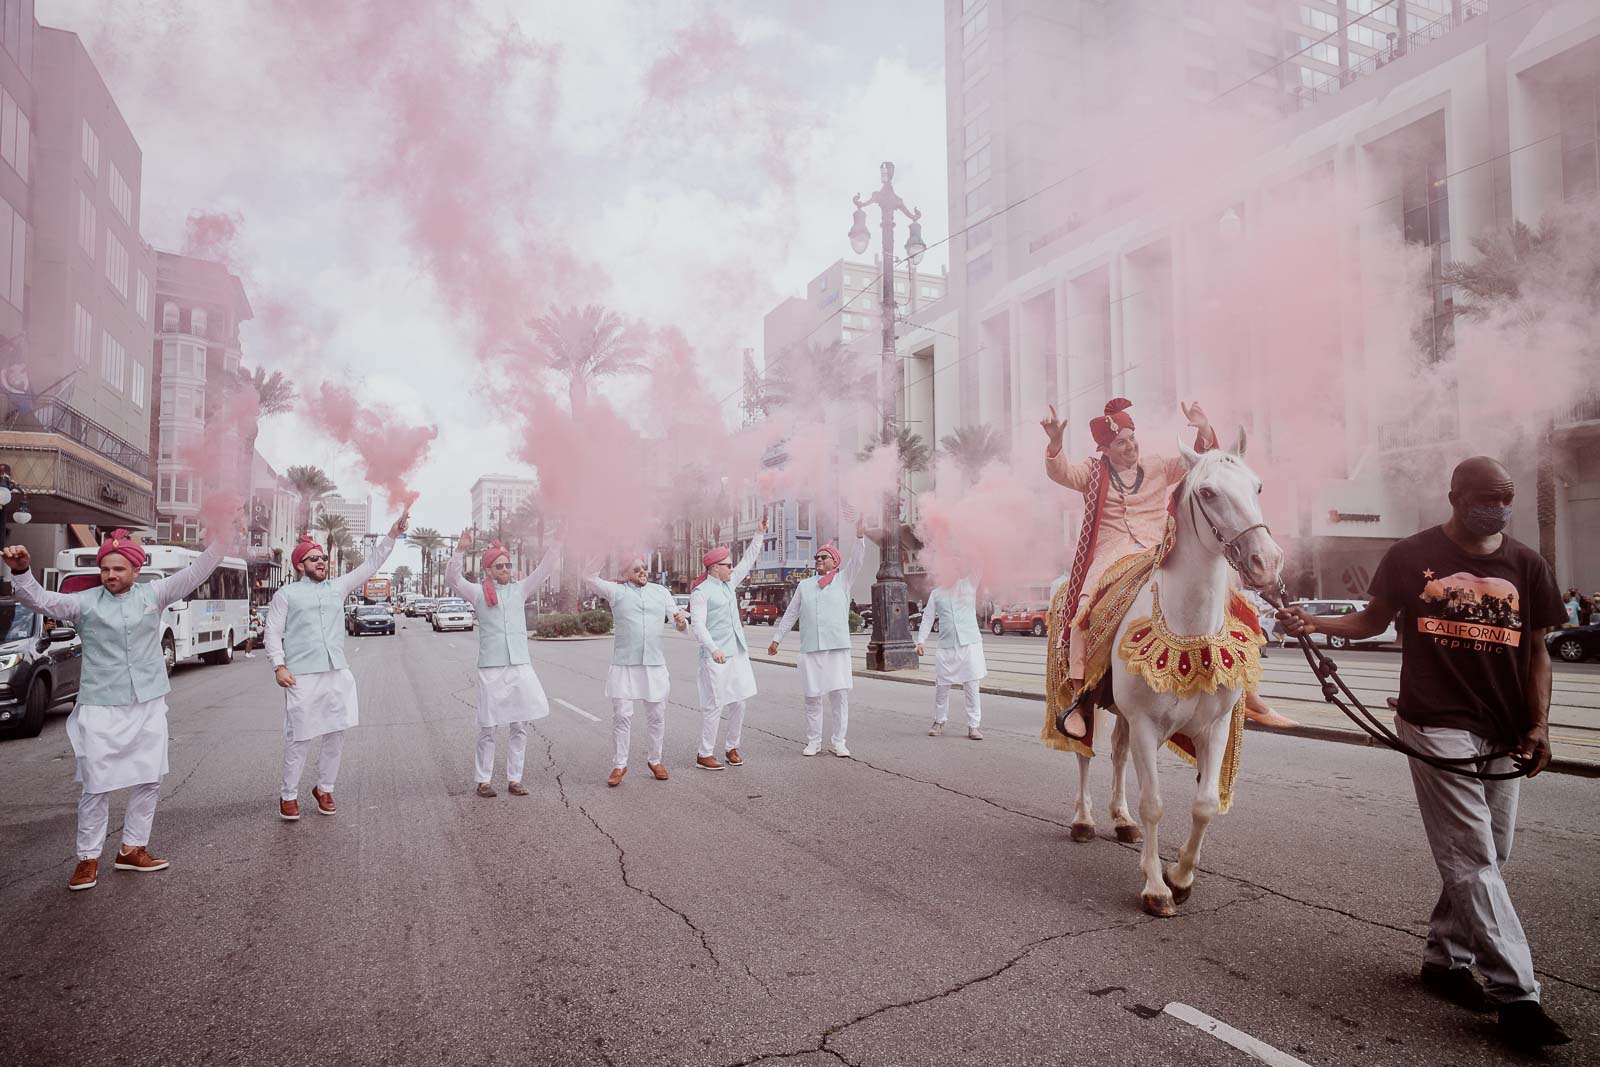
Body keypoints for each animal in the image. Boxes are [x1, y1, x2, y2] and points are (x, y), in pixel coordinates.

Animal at [1068, 435, 1280, 921]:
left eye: (1258, 486)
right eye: (1208, 493)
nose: (1266, 561)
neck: (1190, 626)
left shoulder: (1214, 727)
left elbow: (1204, 805)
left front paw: (1181, 878)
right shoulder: (1147, 725)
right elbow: (1155, 804)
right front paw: (1155, 887)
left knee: (1117, 753)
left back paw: (1121, 819)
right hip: (1088, 698)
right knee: (1086, 753)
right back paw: (1085, 820)